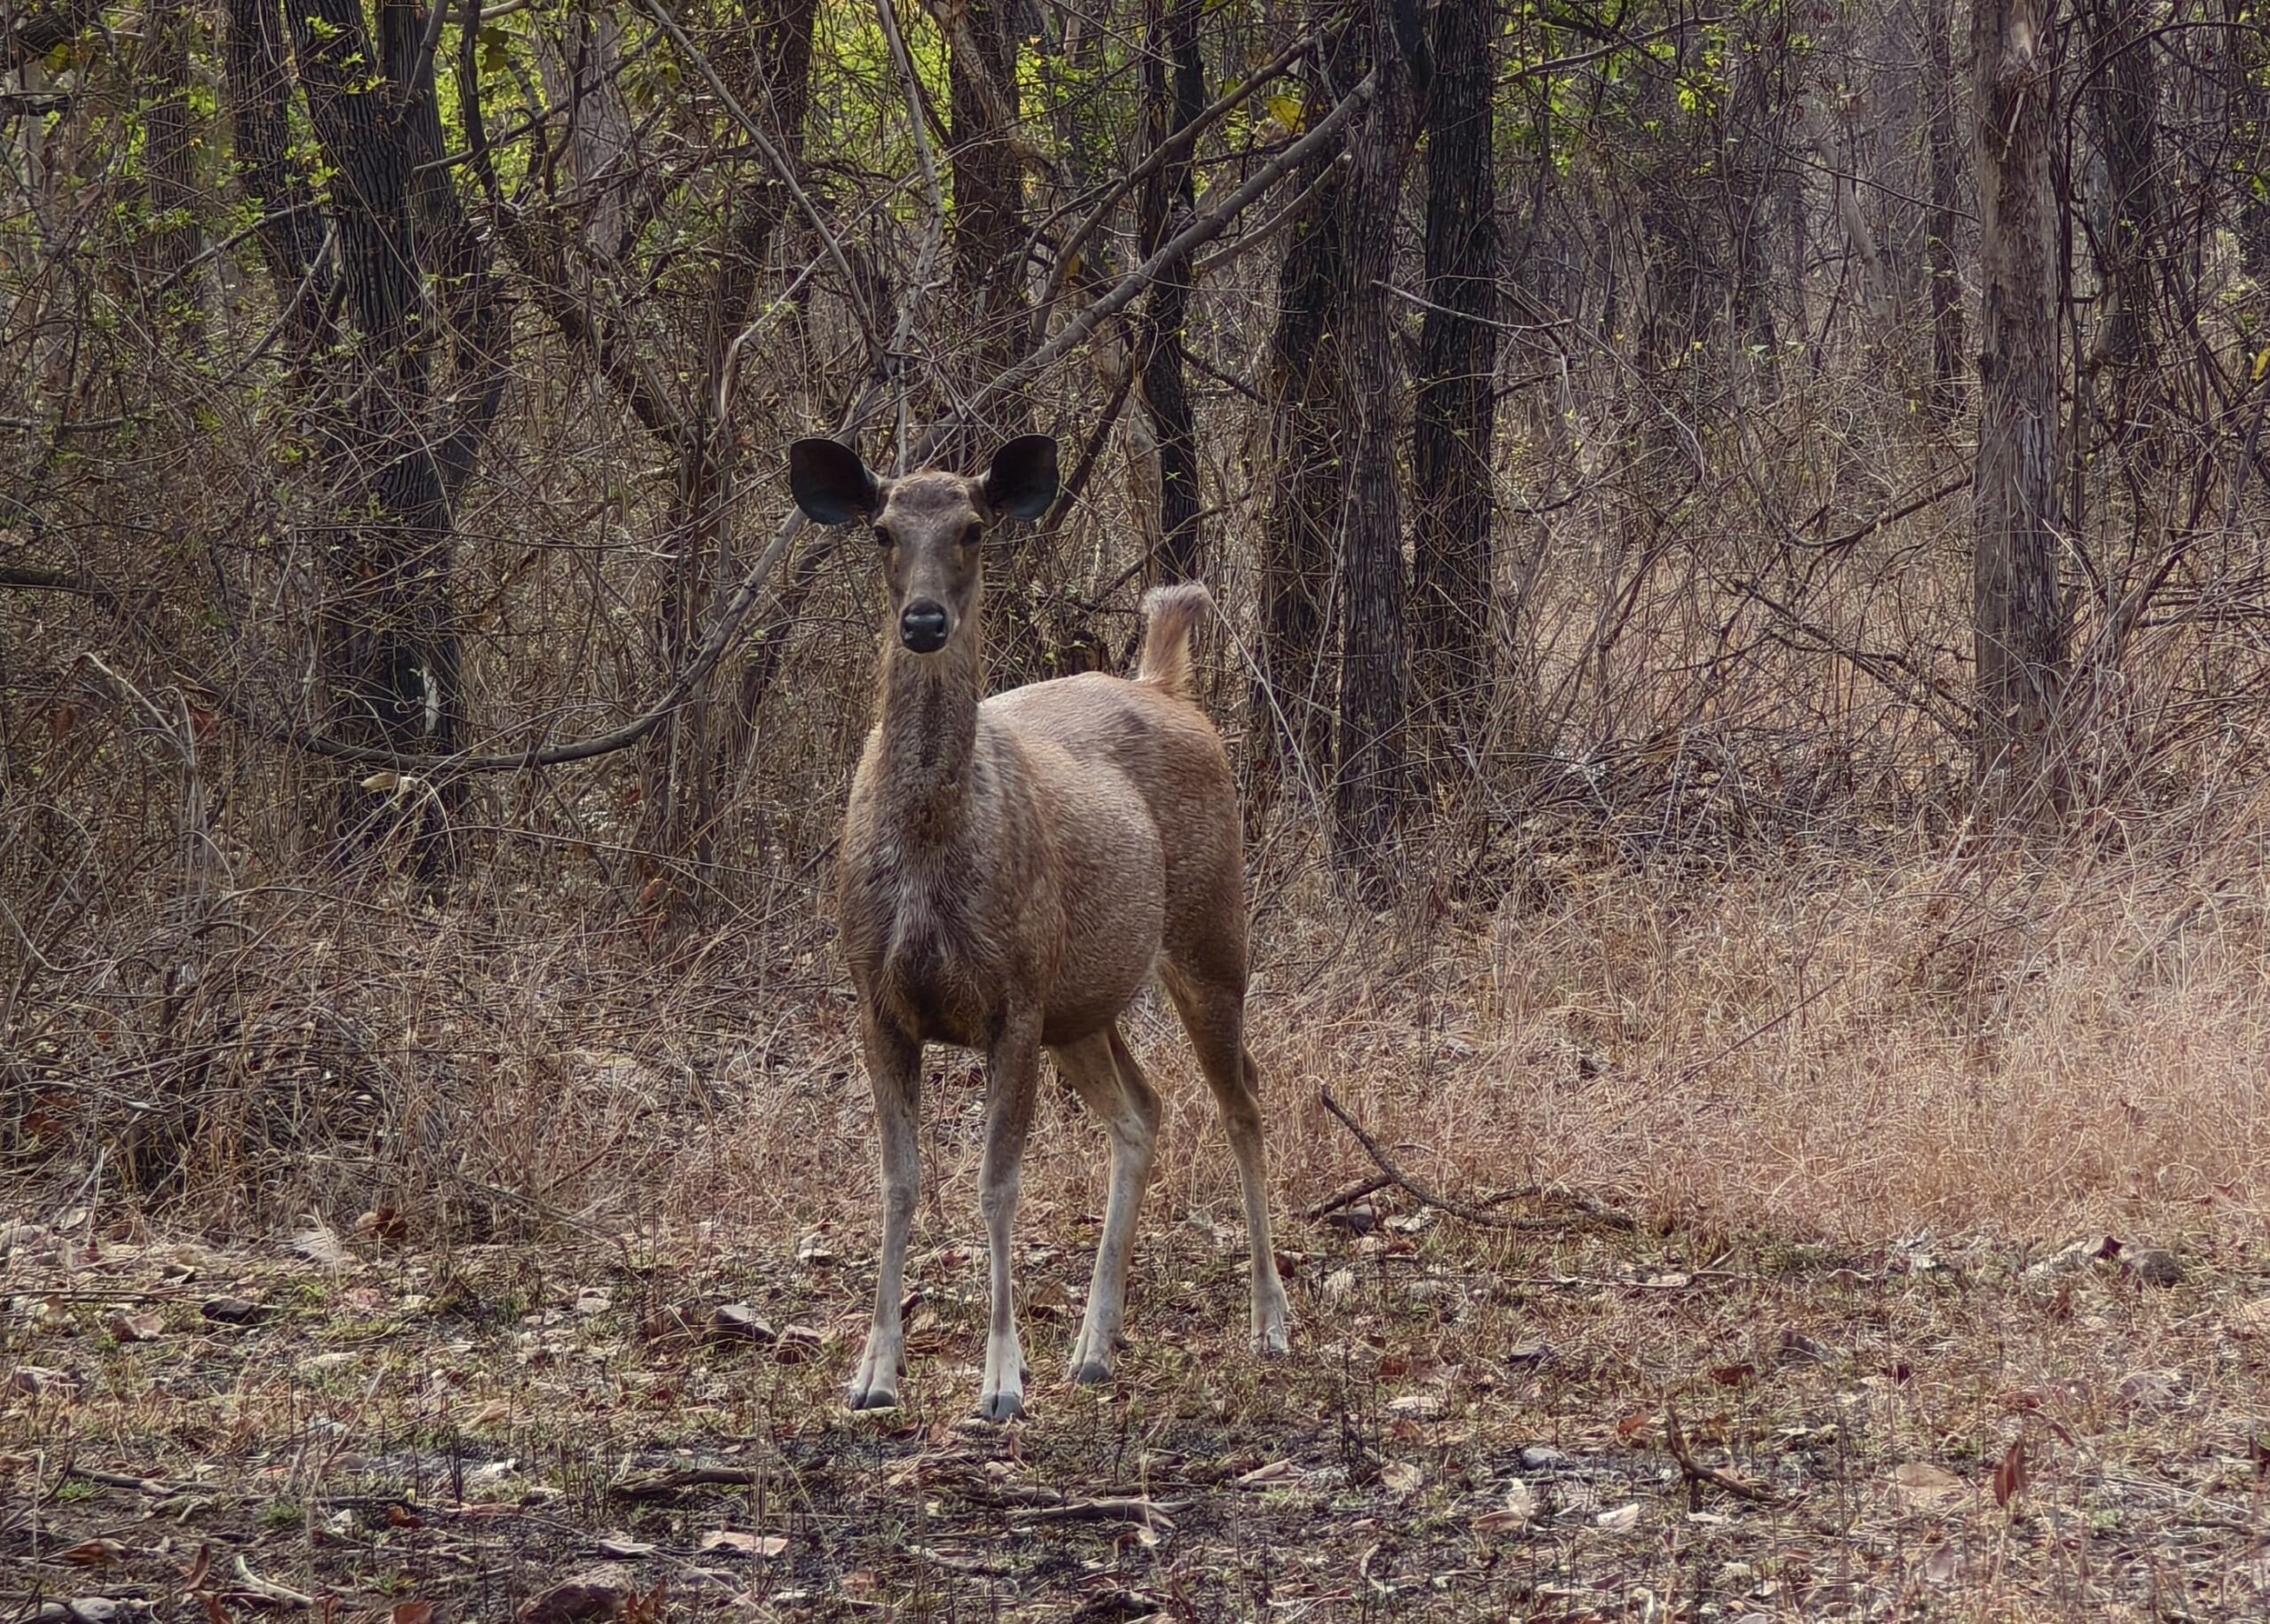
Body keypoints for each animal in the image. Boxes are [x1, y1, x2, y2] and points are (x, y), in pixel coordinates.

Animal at [786, 432, 1291, 1422]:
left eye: (974, 527)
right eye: (881, 529)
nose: (925, 621)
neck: (933, 852)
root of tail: (1167, 686)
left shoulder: (1010, 1000)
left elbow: (996, 1184)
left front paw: (1001, 1380)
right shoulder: (877, 999)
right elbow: (899, 1181)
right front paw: (874, 1373)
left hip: (1209, 931)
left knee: (1243, 1098)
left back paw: (1269, 1322)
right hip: (1082, 1001)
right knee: (1143, 1109)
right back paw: (1095, 1346)